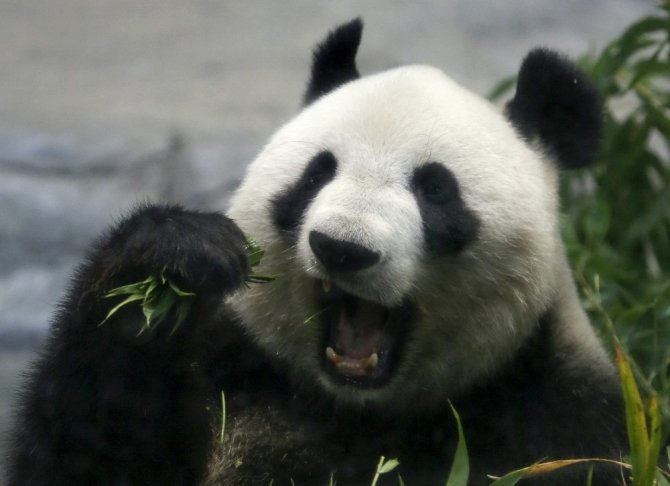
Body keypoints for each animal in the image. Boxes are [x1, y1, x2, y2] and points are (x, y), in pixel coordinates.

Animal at [6, 19, 627, 486]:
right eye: (317, 173)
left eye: (435, 190)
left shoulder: (563, 422)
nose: (343, 248)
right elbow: (85, 455)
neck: (362, 411)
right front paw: (166, 270)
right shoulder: (236, 372)